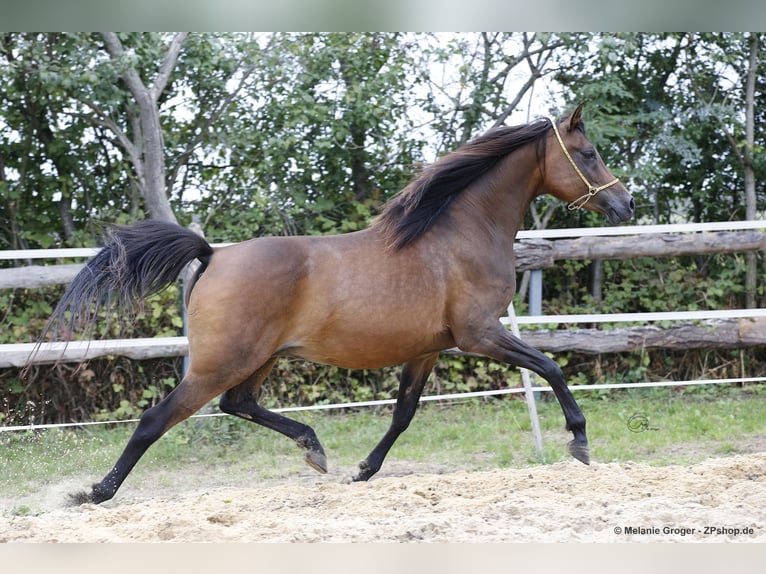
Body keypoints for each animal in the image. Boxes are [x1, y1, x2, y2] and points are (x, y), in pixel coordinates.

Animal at [39, 104, 632, 504]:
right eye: (588, 154)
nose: (625, 204)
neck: (459, 235)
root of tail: (213, 255)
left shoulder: (428, 349)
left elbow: (403, 415)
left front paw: (364, 470)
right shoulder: (480, 334)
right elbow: (551, 367)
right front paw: (580, 441)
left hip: (260, 357)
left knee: (238, 404)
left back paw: (314, 448)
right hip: (220, 361)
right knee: (156, 419)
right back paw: (97, 492)